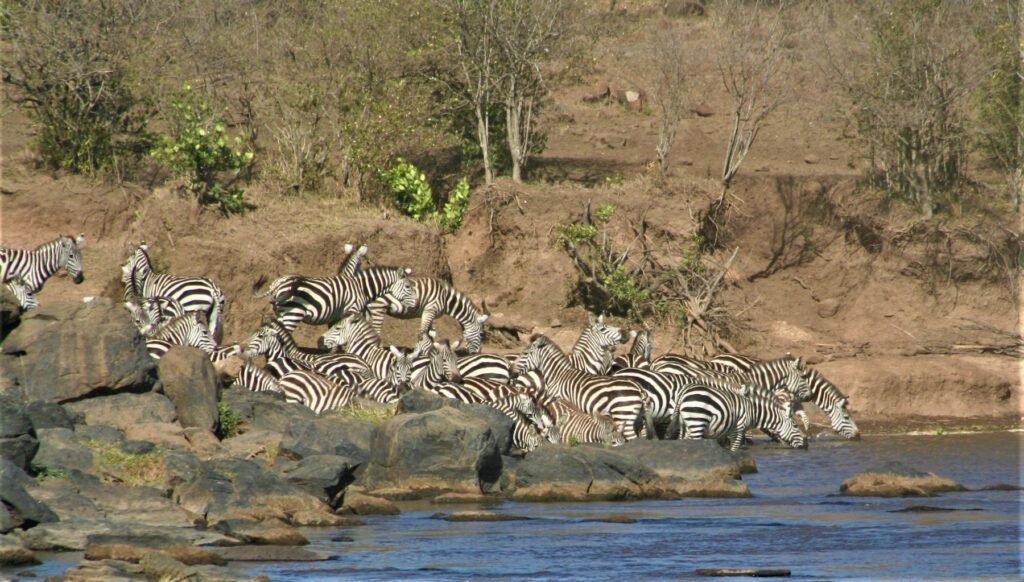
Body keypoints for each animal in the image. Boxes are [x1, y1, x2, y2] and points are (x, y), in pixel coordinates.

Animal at [253, 264, 413, 329]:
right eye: (408, 286)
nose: (414, 305)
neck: (362, 288)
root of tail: (276, 283)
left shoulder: (337, 315)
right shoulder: (353, 310)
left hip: (280, 313)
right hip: (292, 314)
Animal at [512, 334, 655, 438]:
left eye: (525, 354)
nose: (511, 371)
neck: (558, 375)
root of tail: (638, 387)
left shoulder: (561, 402)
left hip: (623, 415)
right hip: (637, 416)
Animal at [671, 379, 806, 452]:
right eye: (795, 426)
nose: (806, 445)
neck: (753, 410)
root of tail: (684, 391)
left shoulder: (729, 431)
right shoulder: (738, 430)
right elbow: (734, 449)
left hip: (685, 424)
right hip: (697, 421)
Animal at [708, 352, 860, 438]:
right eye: (847, 418)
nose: (858, 436)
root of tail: (717, 357)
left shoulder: (795, 401)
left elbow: (804, 418)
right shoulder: (783, 397)